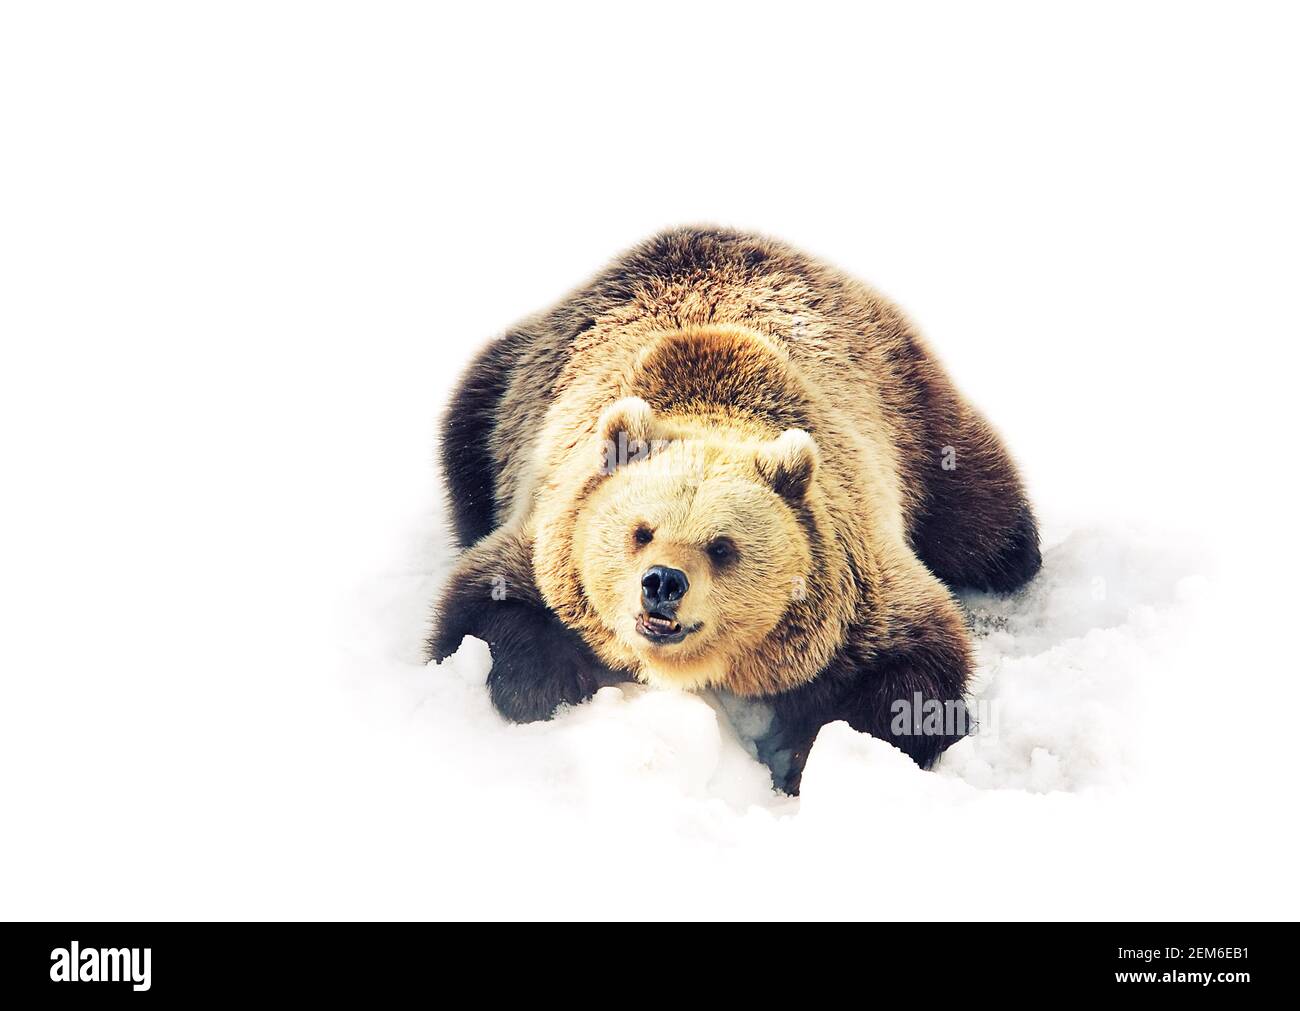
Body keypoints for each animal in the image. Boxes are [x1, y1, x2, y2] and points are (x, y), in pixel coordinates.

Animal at [428, 226, 1040, 793]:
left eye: (722, 546)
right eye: (641, 531)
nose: (663, 583)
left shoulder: (858, 590)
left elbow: (918, 669)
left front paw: (807, 758)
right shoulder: (550, 525)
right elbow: (482, 606)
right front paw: (550, 691)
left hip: (910, 411)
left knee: (984, 524)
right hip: (501, 392)